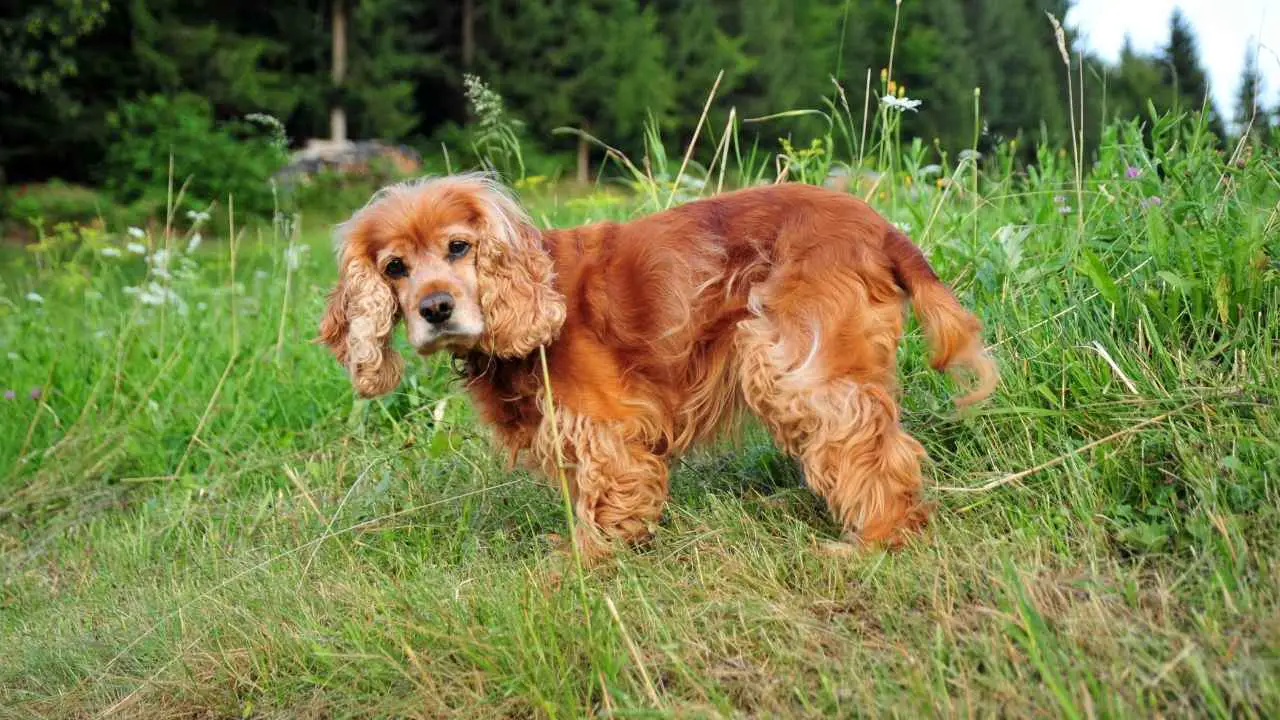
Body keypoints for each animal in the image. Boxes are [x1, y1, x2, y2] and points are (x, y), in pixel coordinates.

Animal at [314, 172, 993, 561]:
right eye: (395, 267)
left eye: (460, 246)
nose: (435, 308)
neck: (536, 295)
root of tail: (881, 228)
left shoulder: (605, 427)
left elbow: (606, 500)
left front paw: (582, 562)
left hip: (797, 365)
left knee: (876, 450)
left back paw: (872, 542)